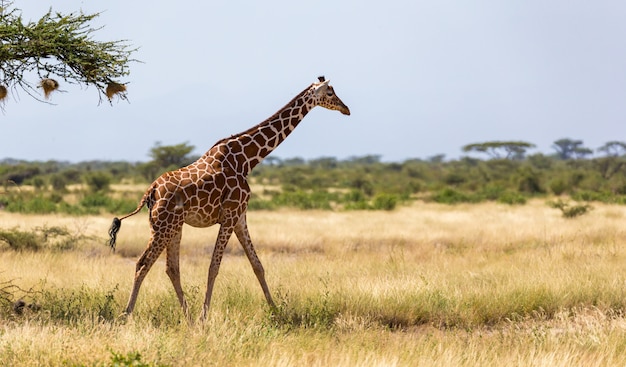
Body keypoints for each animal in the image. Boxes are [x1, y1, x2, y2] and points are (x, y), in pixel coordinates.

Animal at [109, 76, 348, 320]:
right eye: (330, 93)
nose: (345, 109)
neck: (246, 160)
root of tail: (151, 190)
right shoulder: (230, 215)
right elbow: (214, 266)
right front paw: (204, 317)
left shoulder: (240, 216)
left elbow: (257, 265)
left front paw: (275, 311)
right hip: (163, 226)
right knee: (143, 263)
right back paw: (127, 314)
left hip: (173, 226)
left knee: (171, 268)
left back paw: (188, 318)